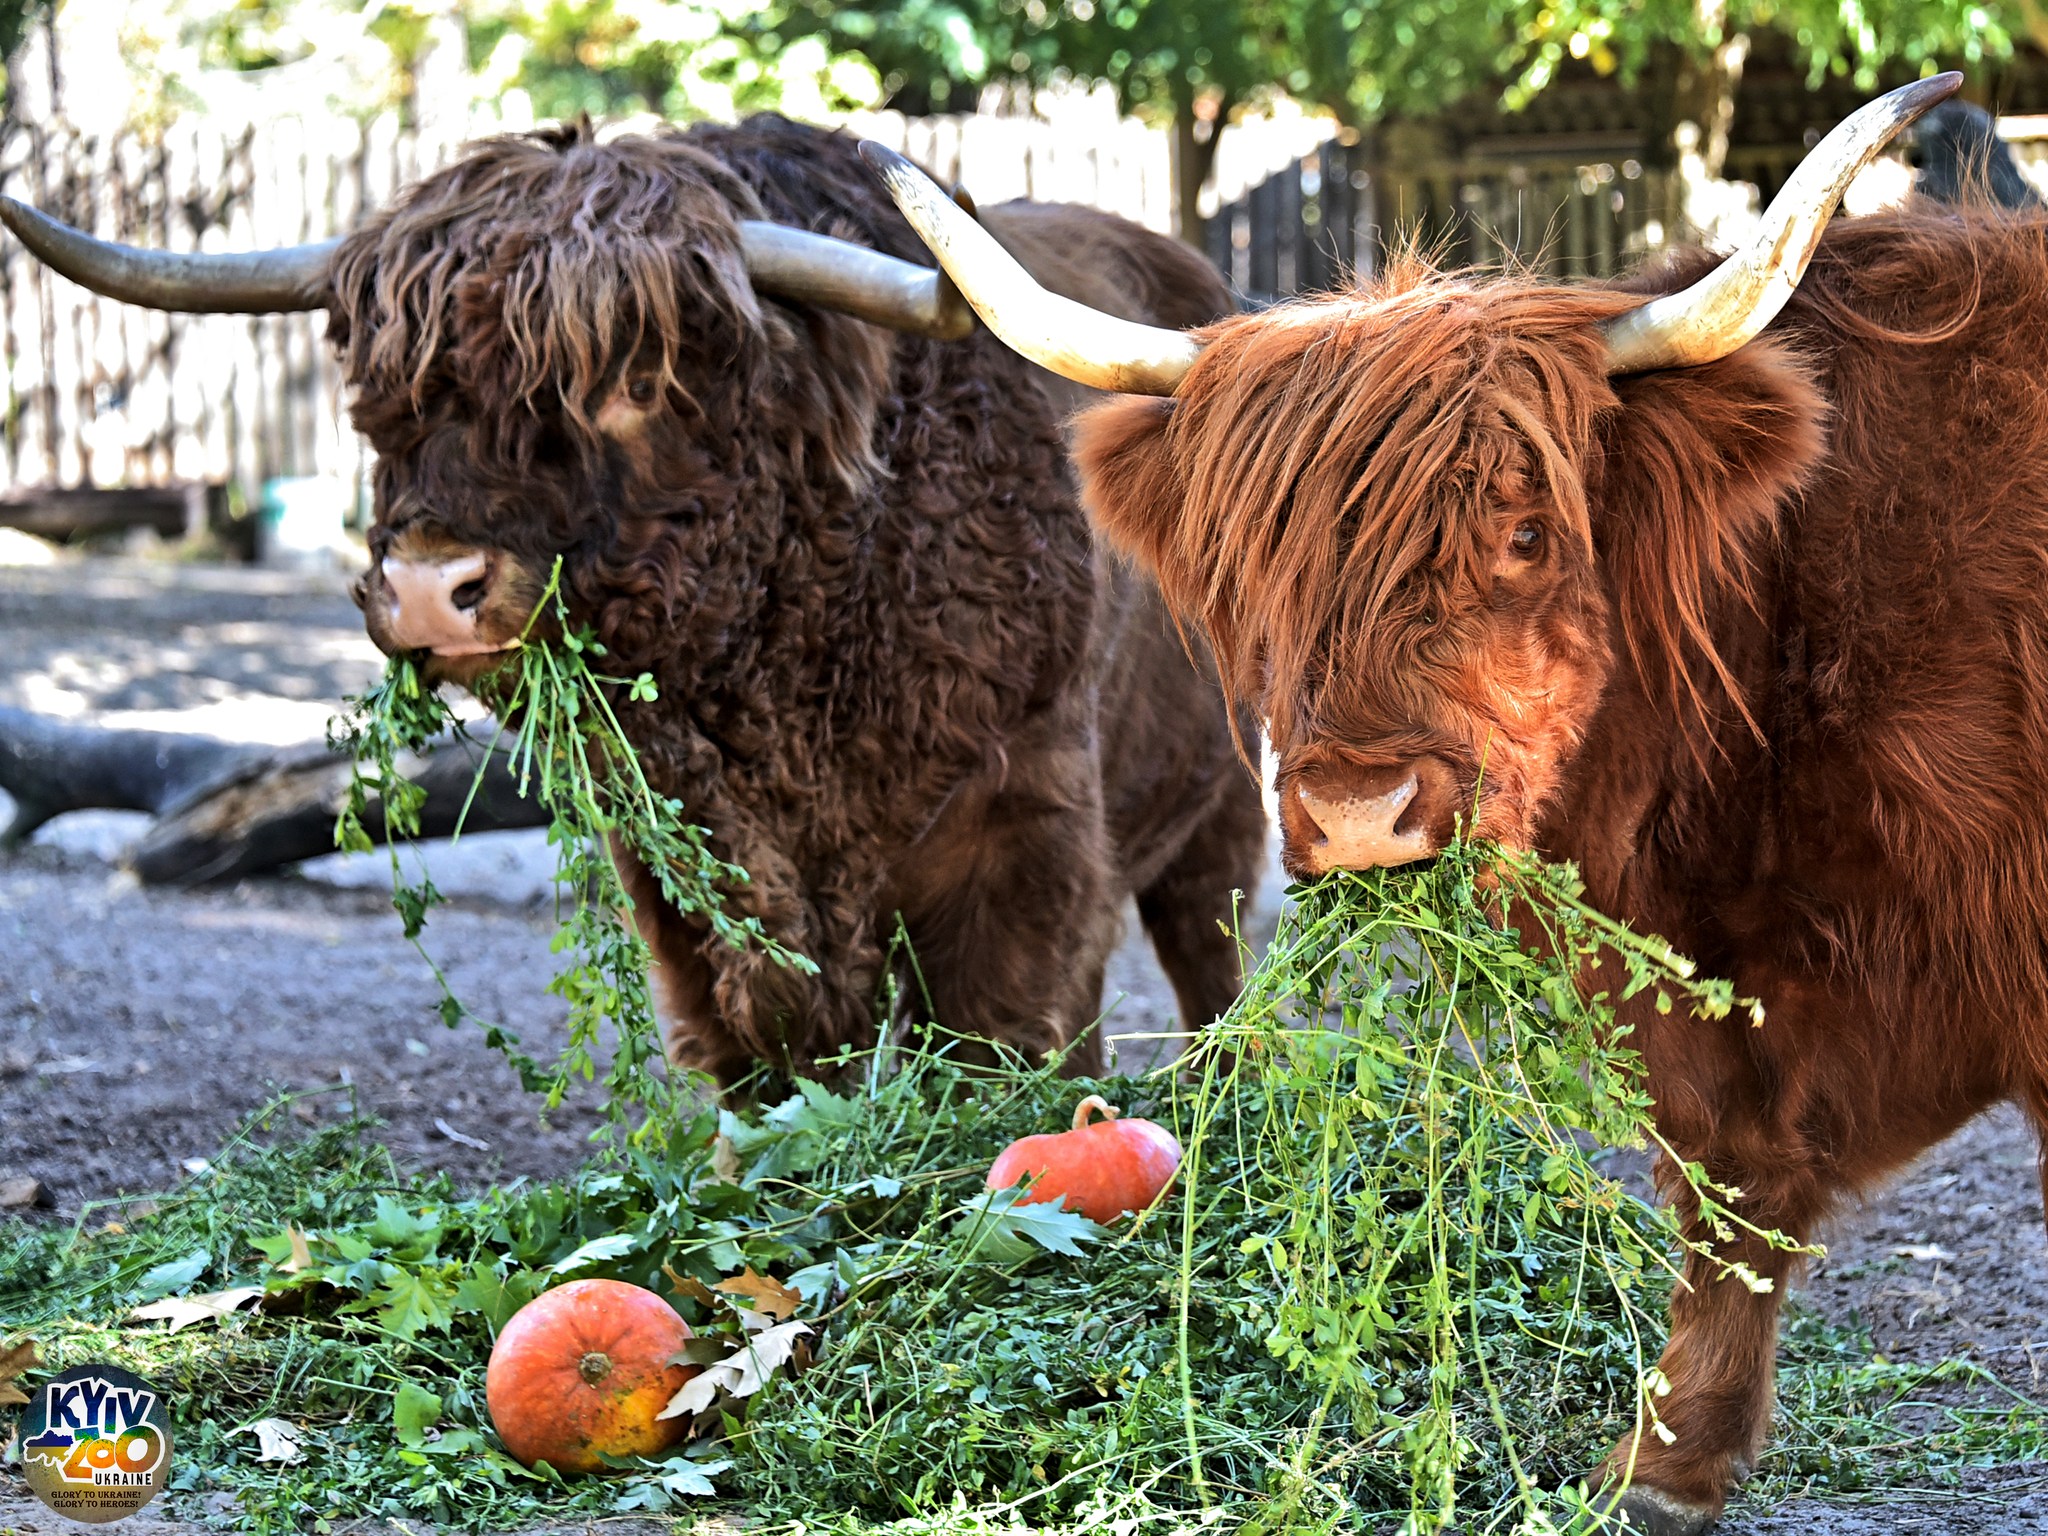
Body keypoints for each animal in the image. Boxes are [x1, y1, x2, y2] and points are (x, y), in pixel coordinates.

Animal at [4, 114, 1261, 1089]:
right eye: (382, 388)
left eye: (637, 382)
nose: (429, 588)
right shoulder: (676, 870)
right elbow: (758, 1063)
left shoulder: (1027, 835)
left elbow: (1009, 1042)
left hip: (1222, 803)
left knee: (1215, 953)